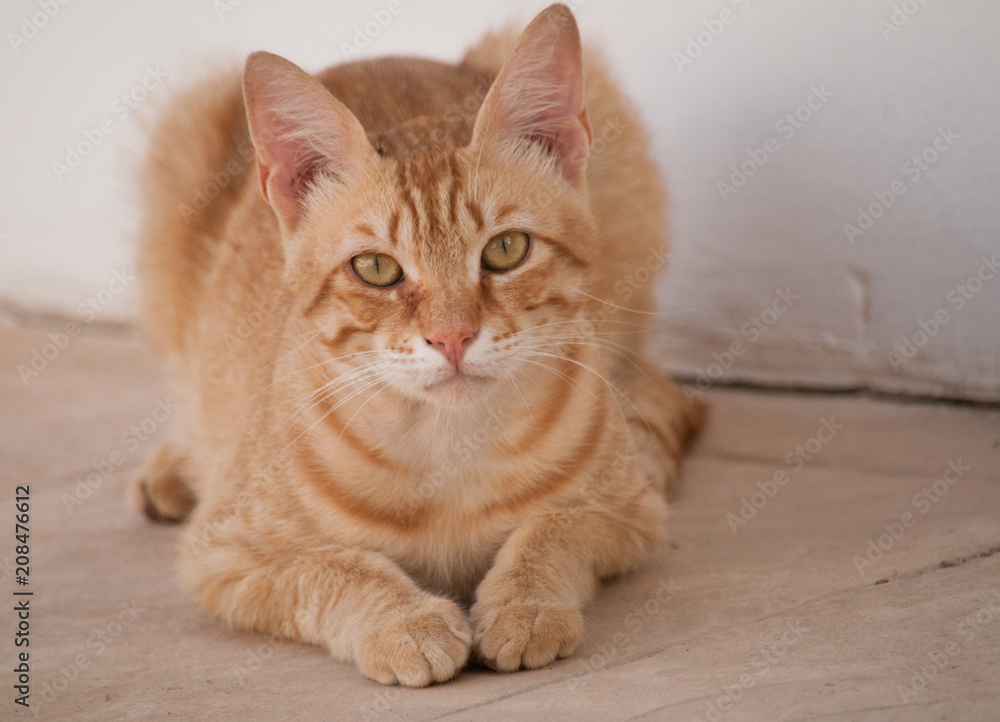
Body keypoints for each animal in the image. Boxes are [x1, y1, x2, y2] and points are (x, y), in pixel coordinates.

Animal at [133, 2, 700, 684]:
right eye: (376, 268)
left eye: (506, 250)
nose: (453, 337)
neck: (447, 450)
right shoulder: (224, 555)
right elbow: (337, 568)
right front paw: (403, 620)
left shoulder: (628, 513)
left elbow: (552, 531)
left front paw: (526, 602)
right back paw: (178, 465)